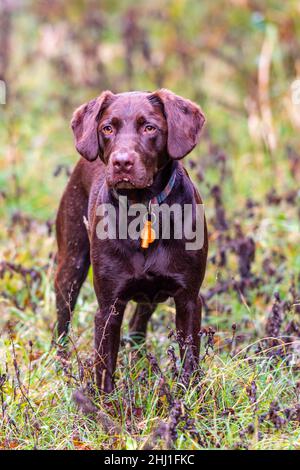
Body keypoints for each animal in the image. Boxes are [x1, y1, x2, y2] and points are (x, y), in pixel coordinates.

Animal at [55, 89, 207, 392]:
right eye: (107, 128)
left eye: (150, 127)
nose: (121, 162)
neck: (142, 207)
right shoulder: (109, 307)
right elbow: (104, 368)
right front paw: (105, 404)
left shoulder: (188, 299)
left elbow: (189, 360)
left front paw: (189, 398)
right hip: (71, 265)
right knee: (63, 321)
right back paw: (62, 366)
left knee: (139, 324)